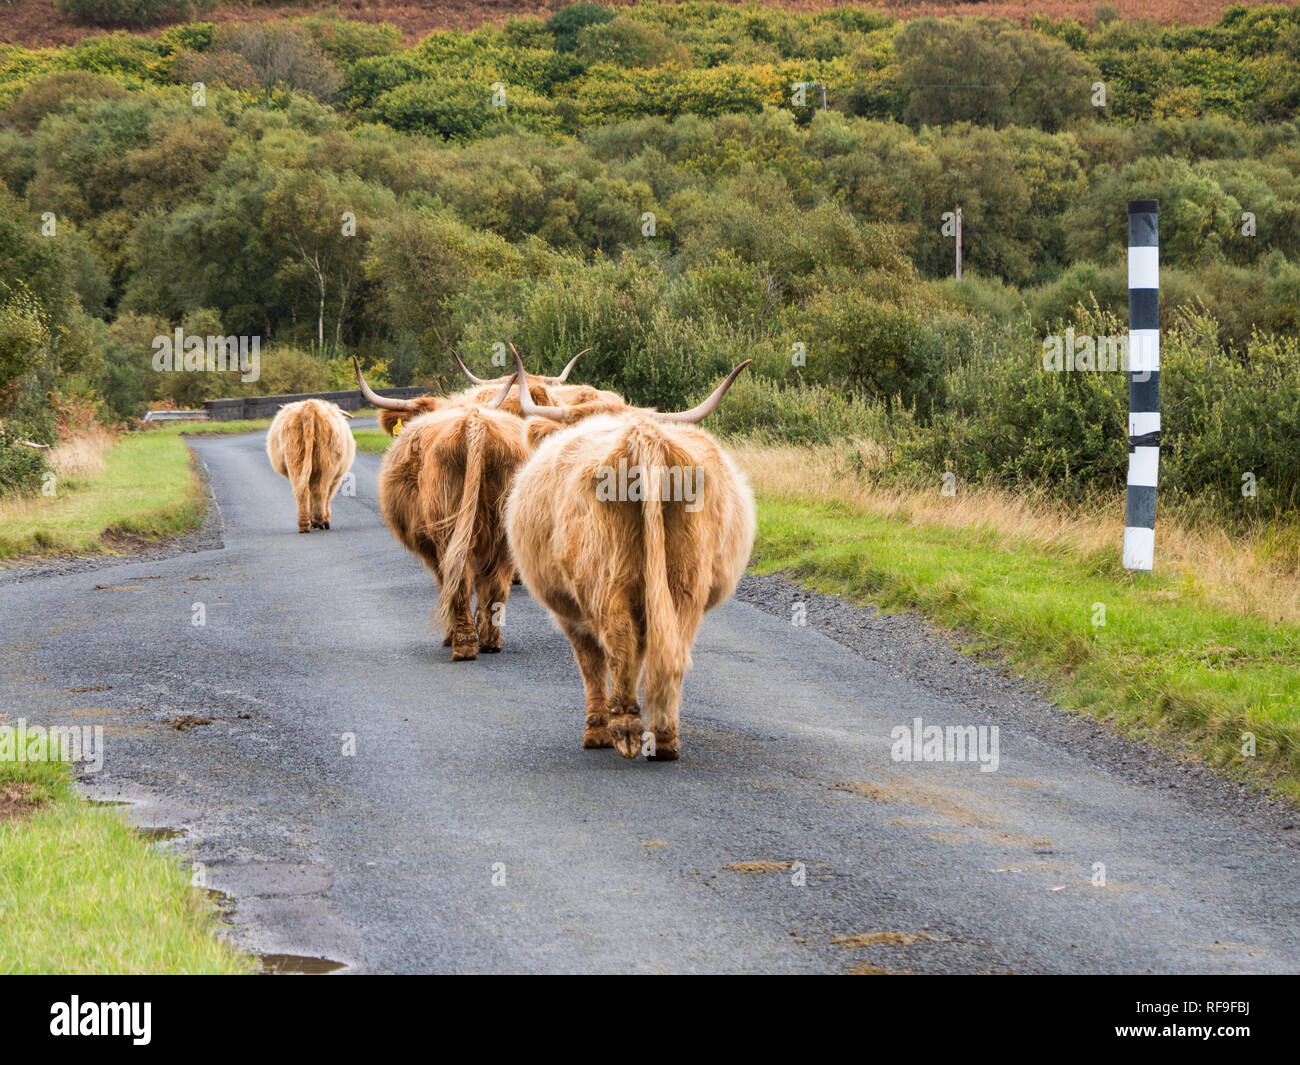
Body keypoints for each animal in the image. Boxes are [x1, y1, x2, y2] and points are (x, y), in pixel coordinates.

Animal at [265, 399, 356, 534]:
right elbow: (327, 496)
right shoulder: (337, 478)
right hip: (327, 464)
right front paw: (321, 520)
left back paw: (304, 525)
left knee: (302, 492)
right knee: (320, 491)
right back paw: (321, 522)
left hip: (295, 458)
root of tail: (310, 406)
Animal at [505, 351, 755, 762]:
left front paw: (595, 732)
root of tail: (642, 437)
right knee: (671, 648)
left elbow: (591, 663)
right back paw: (664, 737)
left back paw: (623, 728)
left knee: (617, 641)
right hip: (685, 581)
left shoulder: (568, 614)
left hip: (603, 576)